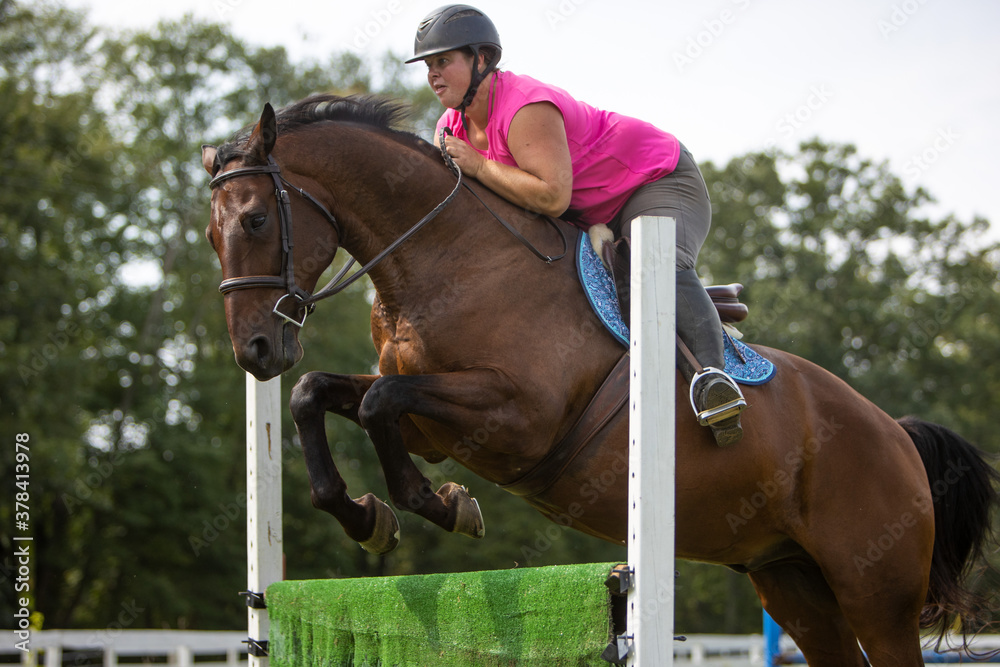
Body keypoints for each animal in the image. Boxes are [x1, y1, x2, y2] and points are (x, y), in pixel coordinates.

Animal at [201, 94, 998, 666]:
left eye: (254, 219)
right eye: (212, 234)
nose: (256, 350)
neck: (446, 259)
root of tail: (895, 433)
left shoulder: (518, 415)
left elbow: (377, 402)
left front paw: (444, 506)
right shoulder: (432, 425)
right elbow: (322, 394)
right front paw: (369, 515)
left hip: (875, 593)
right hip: (791, 581)